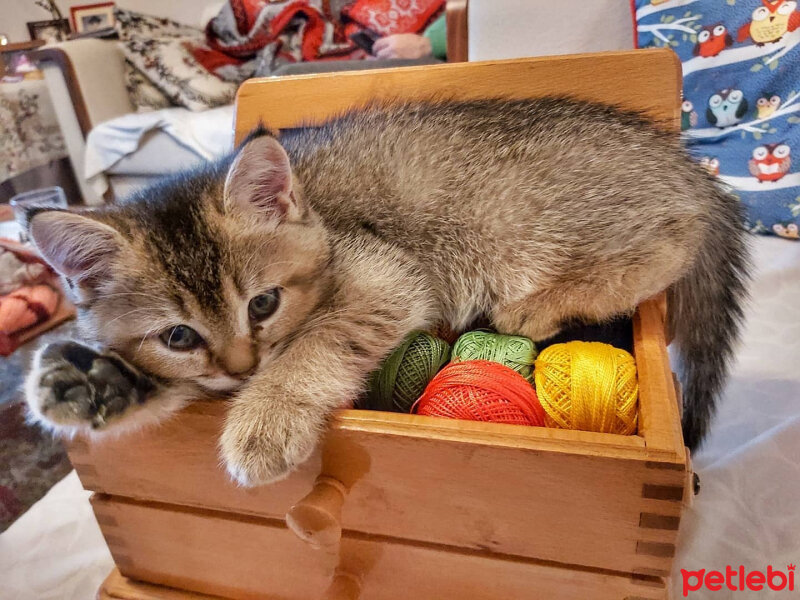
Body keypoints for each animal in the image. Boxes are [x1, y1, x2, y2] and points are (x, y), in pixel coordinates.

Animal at [25, 97, 752, 482]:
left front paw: (265, 418)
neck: (317, 213)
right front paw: (84, 380)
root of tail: (687, 169)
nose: (241, 366)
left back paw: (539, 303)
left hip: (540, 224)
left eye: (263, 304)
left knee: (671, 240)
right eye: (179, 336)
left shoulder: (390, 274)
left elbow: (314, 345)